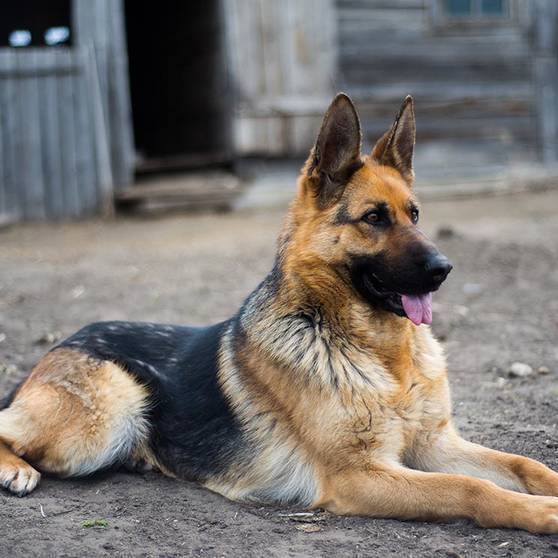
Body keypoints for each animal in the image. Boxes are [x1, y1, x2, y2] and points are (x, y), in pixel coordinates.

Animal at [1, 94, 558, 536]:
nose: (445, 268)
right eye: (374, 218)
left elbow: (524, 464)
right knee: (9, 428)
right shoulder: (362, 476)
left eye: (415, 214)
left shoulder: (434, 445)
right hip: (104, 418)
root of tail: (68, 339)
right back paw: (17, 469)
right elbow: (469, 489)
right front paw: (543, 512)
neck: (381, 355)